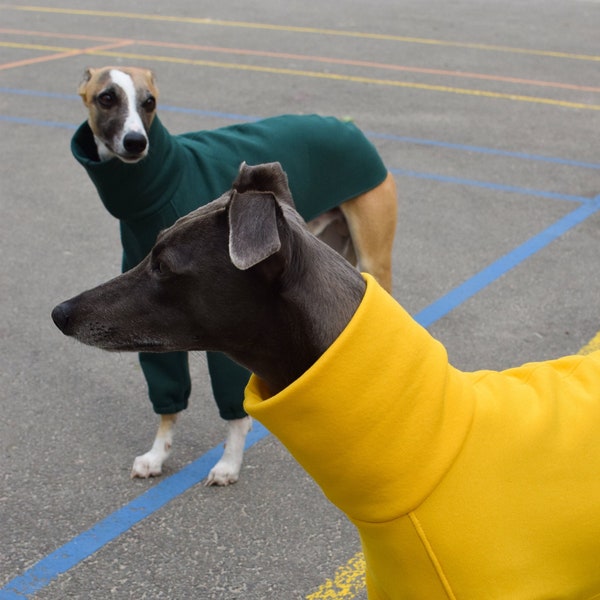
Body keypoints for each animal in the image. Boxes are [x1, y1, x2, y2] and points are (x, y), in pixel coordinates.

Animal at [71, 65, 398, 486]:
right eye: (106, 98)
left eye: (149, 102)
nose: (135, 143)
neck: (157, 186)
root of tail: (348, 126)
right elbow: (167, 398)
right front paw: (157, 455)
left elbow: (233, 408)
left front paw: (228, 463)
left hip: (373, 256)